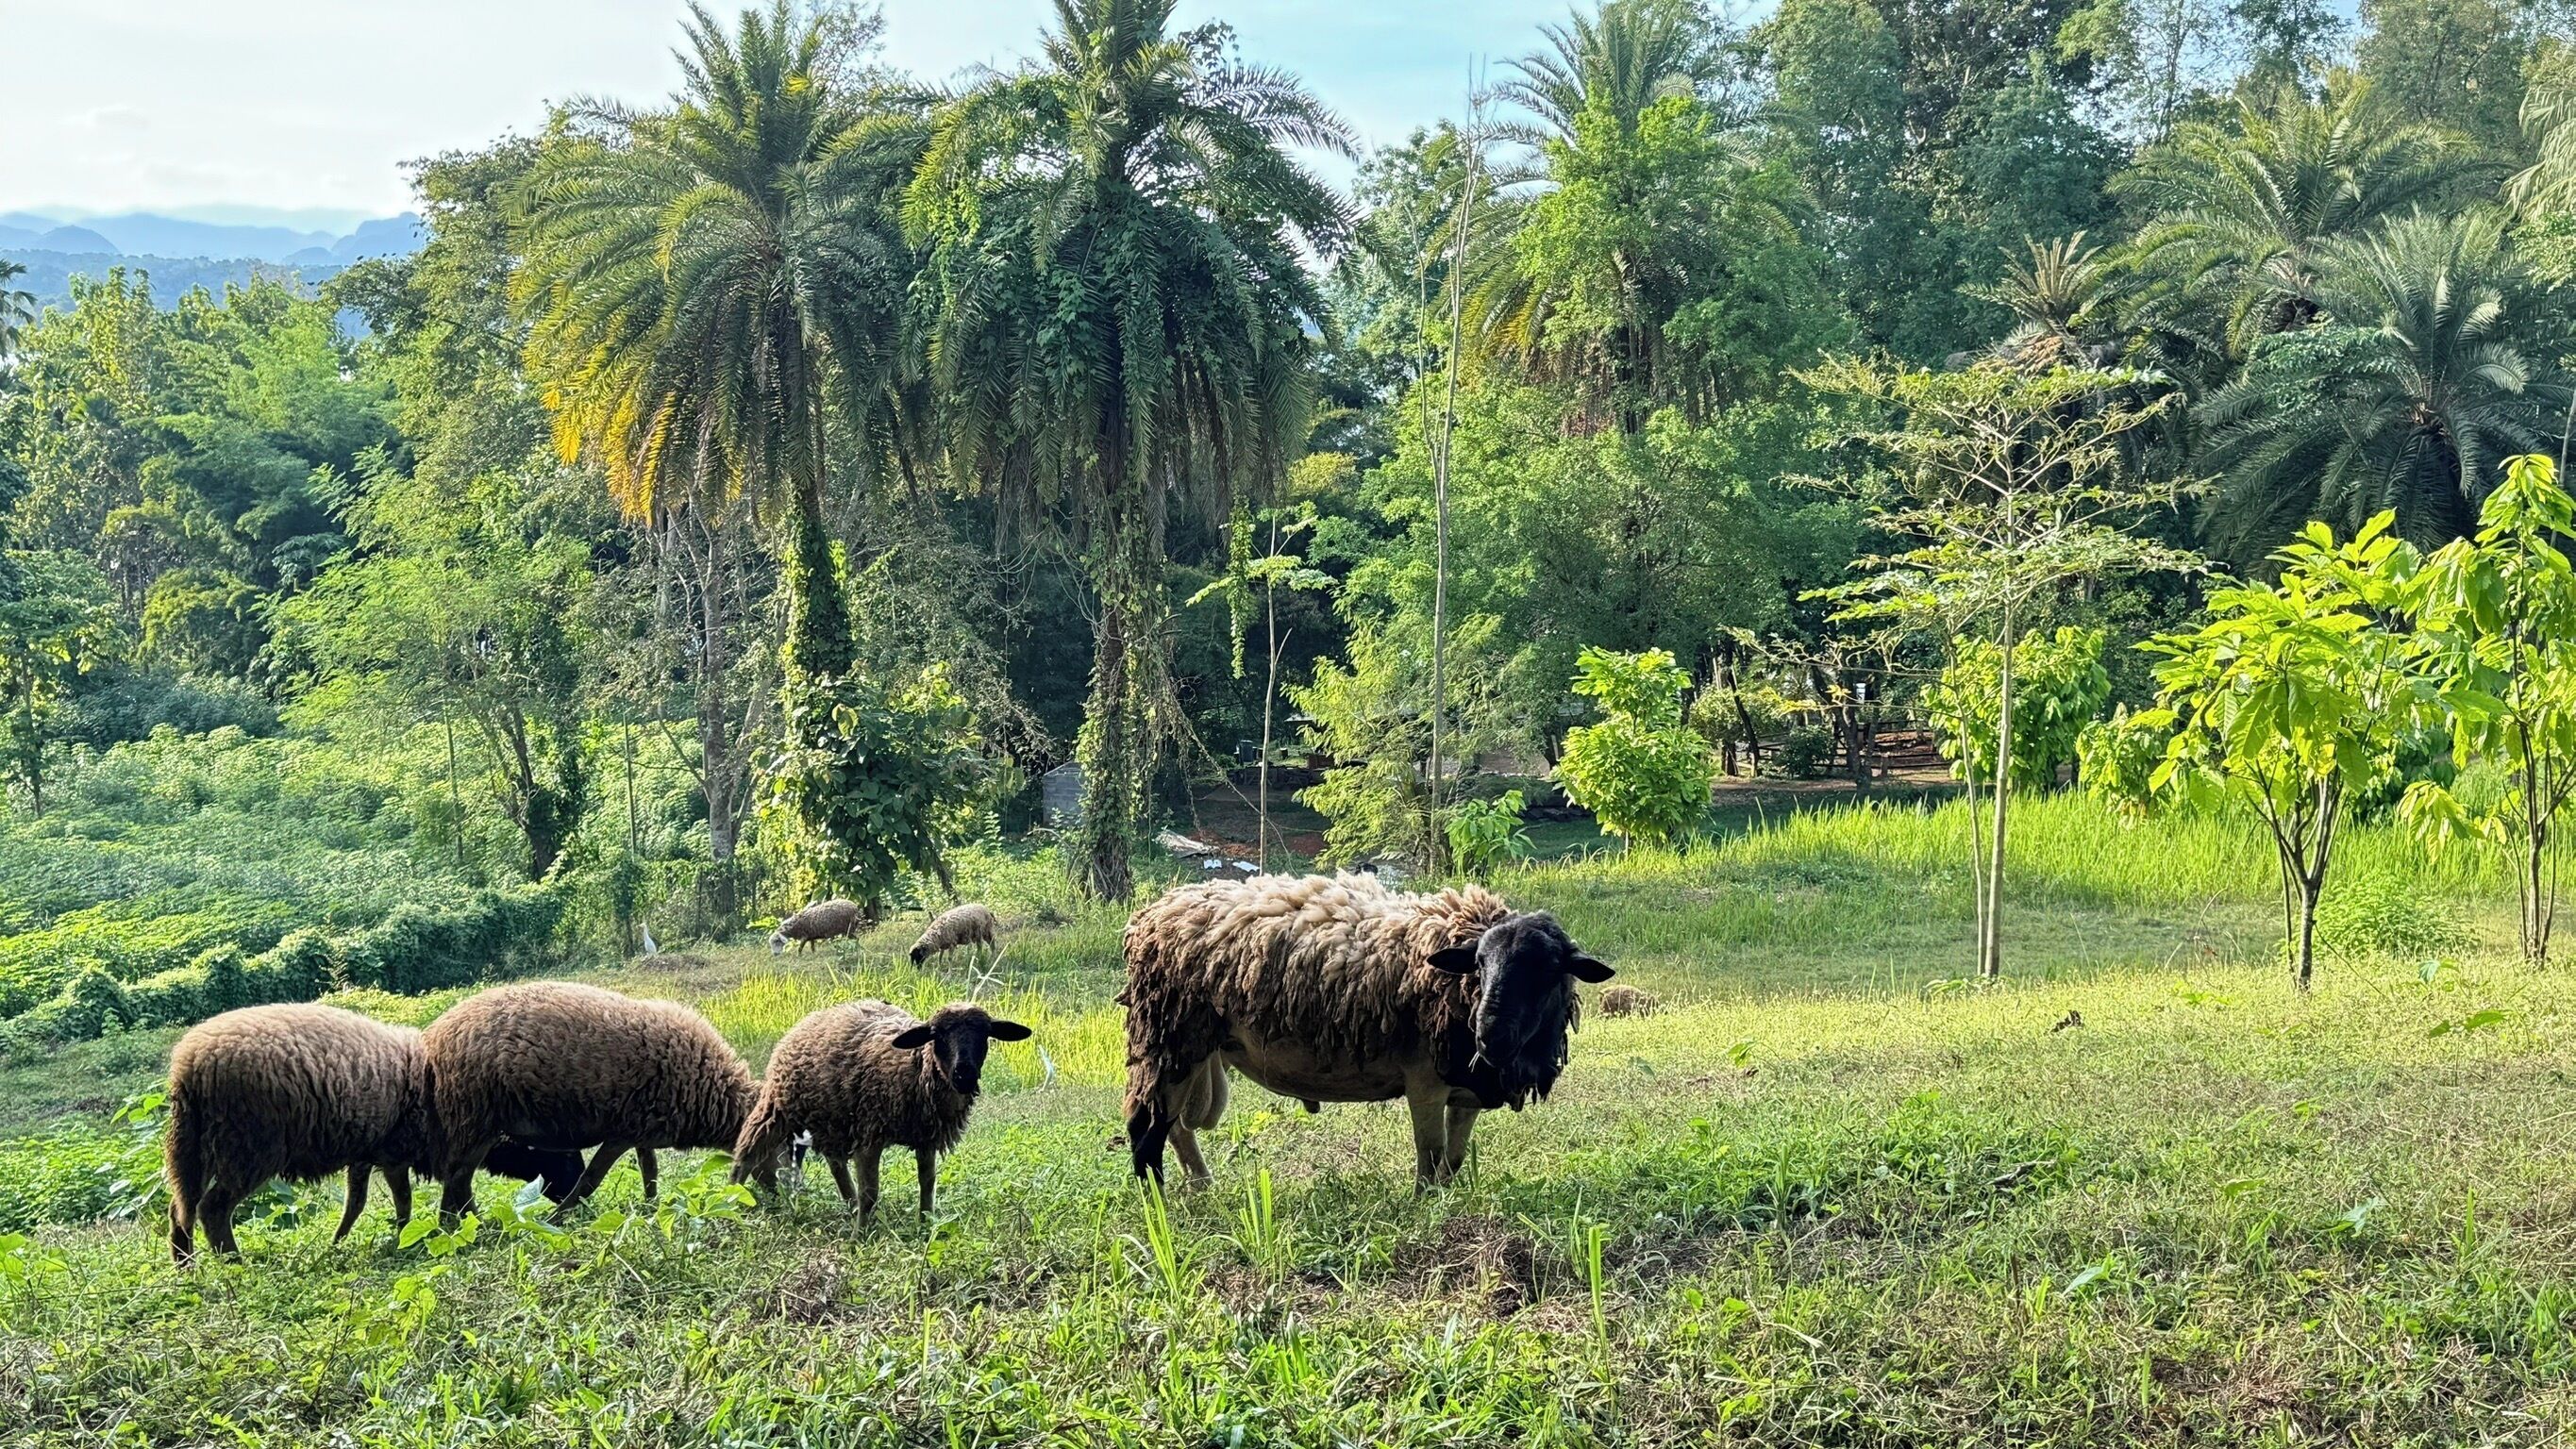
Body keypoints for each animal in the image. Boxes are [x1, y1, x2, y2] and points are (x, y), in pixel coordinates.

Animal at [162, 1003, 585, 1264]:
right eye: (563, 1153)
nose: (579, 1198)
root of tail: (188, 1066)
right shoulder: (401, 1153)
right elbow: (415, 1199)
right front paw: (437, 1231)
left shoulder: (370, 1155)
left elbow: (358, 1203)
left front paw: (342, 1241)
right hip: (249, 1147)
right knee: (211, 1208)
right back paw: (233, 1261)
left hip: (194, 1145)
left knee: (180, 1207)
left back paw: (185, 1265)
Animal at [423, 981, 757, 1221]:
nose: (766, 1197)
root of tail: (433, 1036)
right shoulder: (621, 1134)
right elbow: (590, 1180)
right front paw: (557, 1219)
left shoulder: (642, 1130)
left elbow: (649, 1171)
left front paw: (653, 1206)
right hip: (474, 1119)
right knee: (458, 1177)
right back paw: (465, 1225)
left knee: (455, 1177)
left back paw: (456, 1225)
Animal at [731, 1000, 1031, 1221]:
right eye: (937, 1035)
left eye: (985, 1034)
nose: (964, 1075)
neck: (914, 1067)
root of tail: (813, 1017)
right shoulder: (870, 1135)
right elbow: (871, 1192)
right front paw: (860, 1237)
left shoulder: (926, 1137)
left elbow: (927, 1182)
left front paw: (925, 1223)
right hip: (777, 1106)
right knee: (746, 1151)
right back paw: (731, 1198)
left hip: (833, 1120)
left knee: (836, 1164)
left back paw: (850, 1205)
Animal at [1120, 872, 1613, 1189]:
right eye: (1479, 963)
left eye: (1547, 969)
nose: (1488, 1036)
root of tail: (1155, 912)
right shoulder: (1425, 1082)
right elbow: (1430, 1158)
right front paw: (1425, 1208)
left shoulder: (1466, 1091)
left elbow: (1452, 1162)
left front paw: (1449, 1201)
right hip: (1169, 1038)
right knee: (1146, 1130)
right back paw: (1158, 1207)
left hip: (1193, 1049)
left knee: (1176, 1129)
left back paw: (1204, 1190)